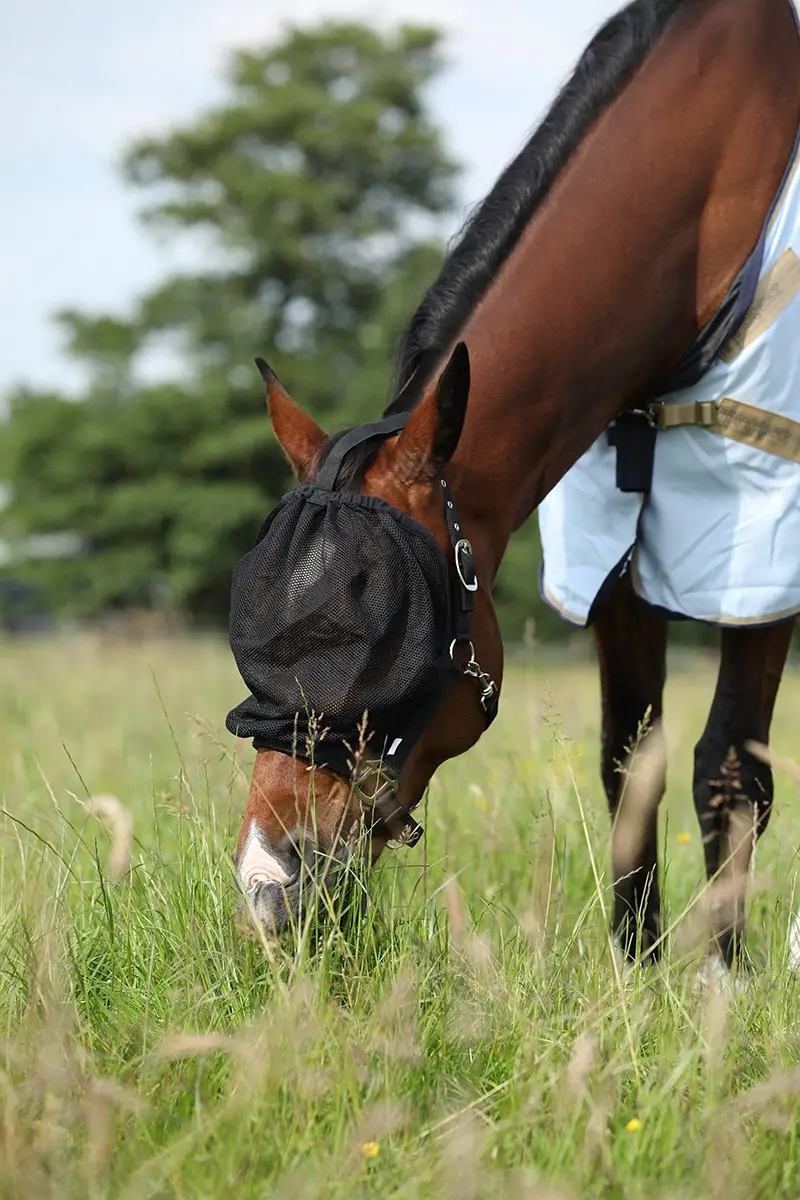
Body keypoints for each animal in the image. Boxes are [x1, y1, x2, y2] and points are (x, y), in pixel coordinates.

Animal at [227, 0, 800, 964]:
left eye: (390, 636)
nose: (269, 886)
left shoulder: (761, 545)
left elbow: (727, 767)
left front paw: (720, 980)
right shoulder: (615, 551)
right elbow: (628, 757)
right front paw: (638, 970)